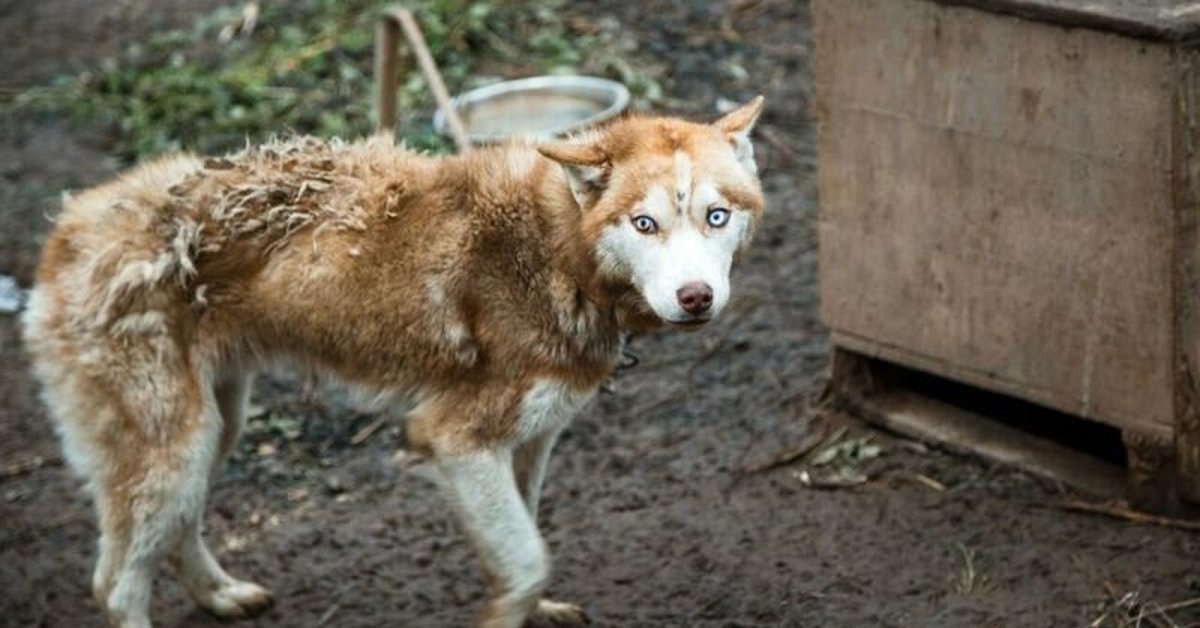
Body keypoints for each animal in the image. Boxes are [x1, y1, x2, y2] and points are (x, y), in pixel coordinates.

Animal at [21, 98, 768, 628]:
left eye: (717, 216)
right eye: (645, 224)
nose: (696, 297)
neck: (554, 254)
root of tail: (67, 226)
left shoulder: (531, 441)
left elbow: (527, 546)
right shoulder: (452, 437)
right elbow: (528, 561)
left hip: (213, 433)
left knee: (174, 534)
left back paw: (224, 597)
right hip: (175, 449)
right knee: (115, 585)